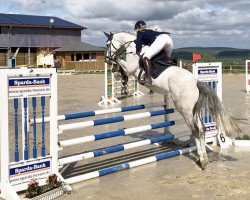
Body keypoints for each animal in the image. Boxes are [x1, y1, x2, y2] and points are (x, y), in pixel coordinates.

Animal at [104, 31, 241, 169]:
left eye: (108, 44)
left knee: (195, 130)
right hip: (194, 110)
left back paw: (202, 160)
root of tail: (196, 82)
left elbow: (121, 63)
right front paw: (118, 73)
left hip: (184, 109)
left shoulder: (130, 68)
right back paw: (204, 157)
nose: (106, 59)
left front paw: (117, 71)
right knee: (202, 128)